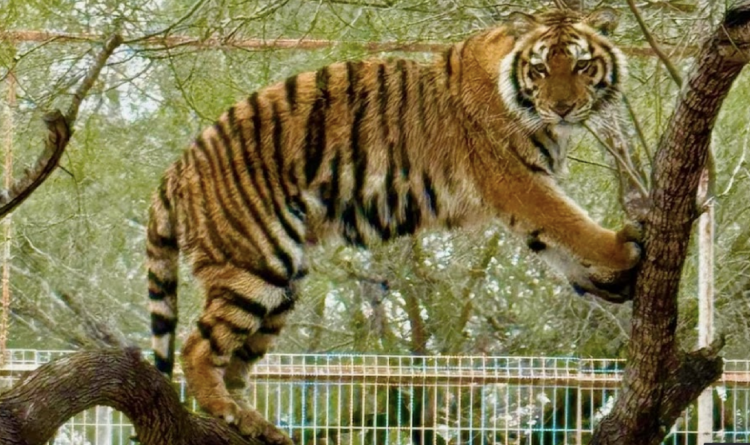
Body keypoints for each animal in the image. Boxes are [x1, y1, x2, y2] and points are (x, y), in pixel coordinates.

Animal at [146, 7, 639, 444]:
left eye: (582, 65)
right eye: (540, 69)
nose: (562, 108)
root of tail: (176, 167)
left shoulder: (518, 199)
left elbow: (555, 246)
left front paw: (609, 280)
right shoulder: (515, 180)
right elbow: (570, 223)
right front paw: (623, 248)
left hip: (283, 282)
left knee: (234, 361)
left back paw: (254, 423)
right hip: (255, 263)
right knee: (195, 349)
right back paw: (227, 412)